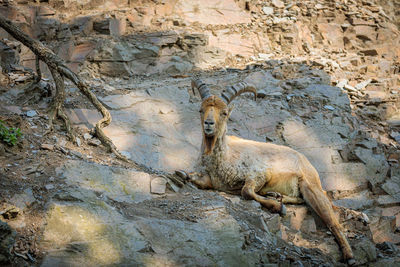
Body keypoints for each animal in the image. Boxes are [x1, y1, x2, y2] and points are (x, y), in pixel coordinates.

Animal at [183, 78, 364, 266]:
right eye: (201, 110)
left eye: (224, 113)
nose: (208, 124)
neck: (225, 156)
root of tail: (307, 162)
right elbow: (200, 180)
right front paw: (184, 175)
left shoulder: (258, 173)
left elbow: (246, 191)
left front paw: (278, 208)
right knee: (301, 199)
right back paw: (275, 195)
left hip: (310, 186)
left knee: (333, 222)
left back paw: (349, 256)